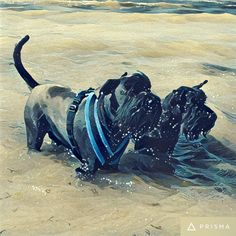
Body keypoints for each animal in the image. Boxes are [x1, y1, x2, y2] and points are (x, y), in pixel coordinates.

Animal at [13, 35, 162, 175]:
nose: (152, 100)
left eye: (149, 88)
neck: (111, 125)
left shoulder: (112, 165)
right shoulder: (87, 167)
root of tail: (37, 86)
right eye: (130, 89)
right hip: (34, 135)